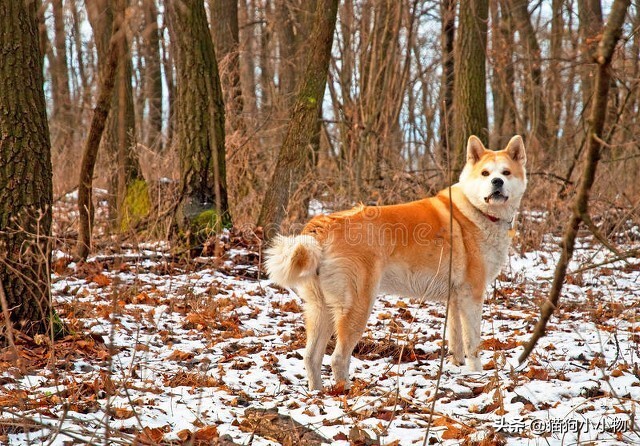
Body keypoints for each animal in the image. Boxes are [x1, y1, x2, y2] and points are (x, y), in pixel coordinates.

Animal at [264, 134, 524, 388]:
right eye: (485, 174)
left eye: (506, 172)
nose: (497, 182)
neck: (476, 211)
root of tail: (325, 225)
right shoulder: (472, 296)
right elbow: (473, 343)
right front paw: (477, 374)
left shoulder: (455, 298)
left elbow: (456, 340)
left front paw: (457, 369)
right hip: (357, 306)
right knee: (338, 358)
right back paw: (346, 392)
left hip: (321, 309)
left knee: (310, 357)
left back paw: (318, 392)